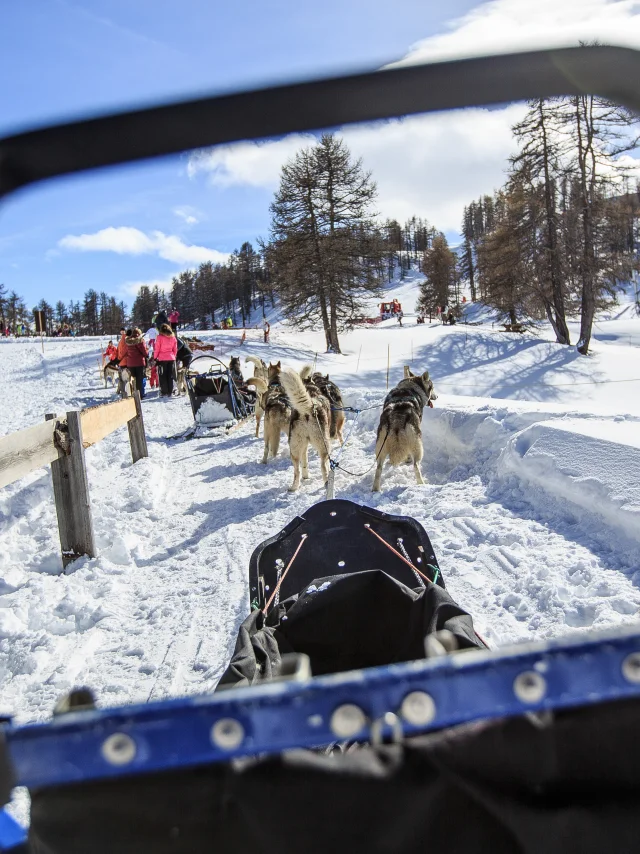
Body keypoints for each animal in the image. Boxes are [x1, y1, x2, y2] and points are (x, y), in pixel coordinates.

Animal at [278, 364, 330, 492]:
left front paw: (306, 476)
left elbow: (305, 463)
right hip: (324, 446)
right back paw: (327, 483)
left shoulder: (304, 446)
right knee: (323, 465)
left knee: (296, 470)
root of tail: (308, 410)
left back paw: (294, 487)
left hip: (294, 449)